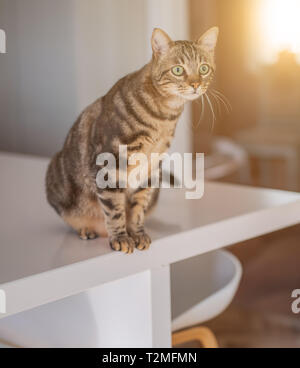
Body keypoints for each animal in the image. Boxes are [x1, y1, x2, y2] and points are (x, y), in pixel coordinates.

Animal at [45, 28, 218, 253]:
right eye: (178, 70)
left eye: (203, 68)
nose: (196, 84)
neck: (163, 118)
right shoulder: (110, 165)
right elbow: (114, 209)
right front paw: (121, 237)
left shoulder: (150, 170)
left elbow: (137, 208)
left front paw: (136, 233)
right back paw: (87, 229)